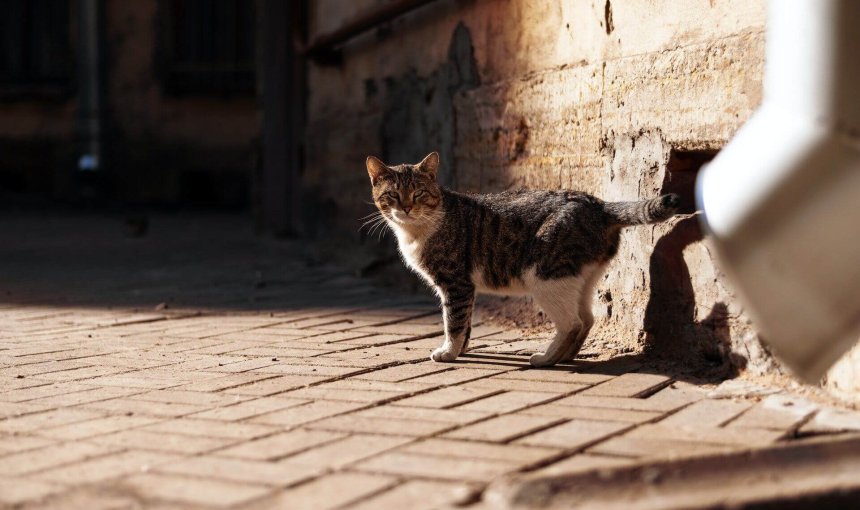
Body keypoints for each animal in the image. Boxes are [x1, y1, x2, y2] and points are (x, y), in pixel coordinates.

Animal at [364, 151, 680, 366]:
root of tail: (599, 205)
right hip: (581, 278)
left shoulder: (455, 283)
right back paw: (565, 358)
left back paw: (545, 359)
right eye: (393, 195)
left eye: (418, 193)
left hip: (545, 276)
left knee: (572, 322)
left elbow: (453, 321)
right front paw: (462, 349)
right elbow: (465, 323)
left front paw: (449, 352)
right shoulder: (465, 287)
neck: (415, 231)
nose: (406, 208)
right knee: (587, 319)